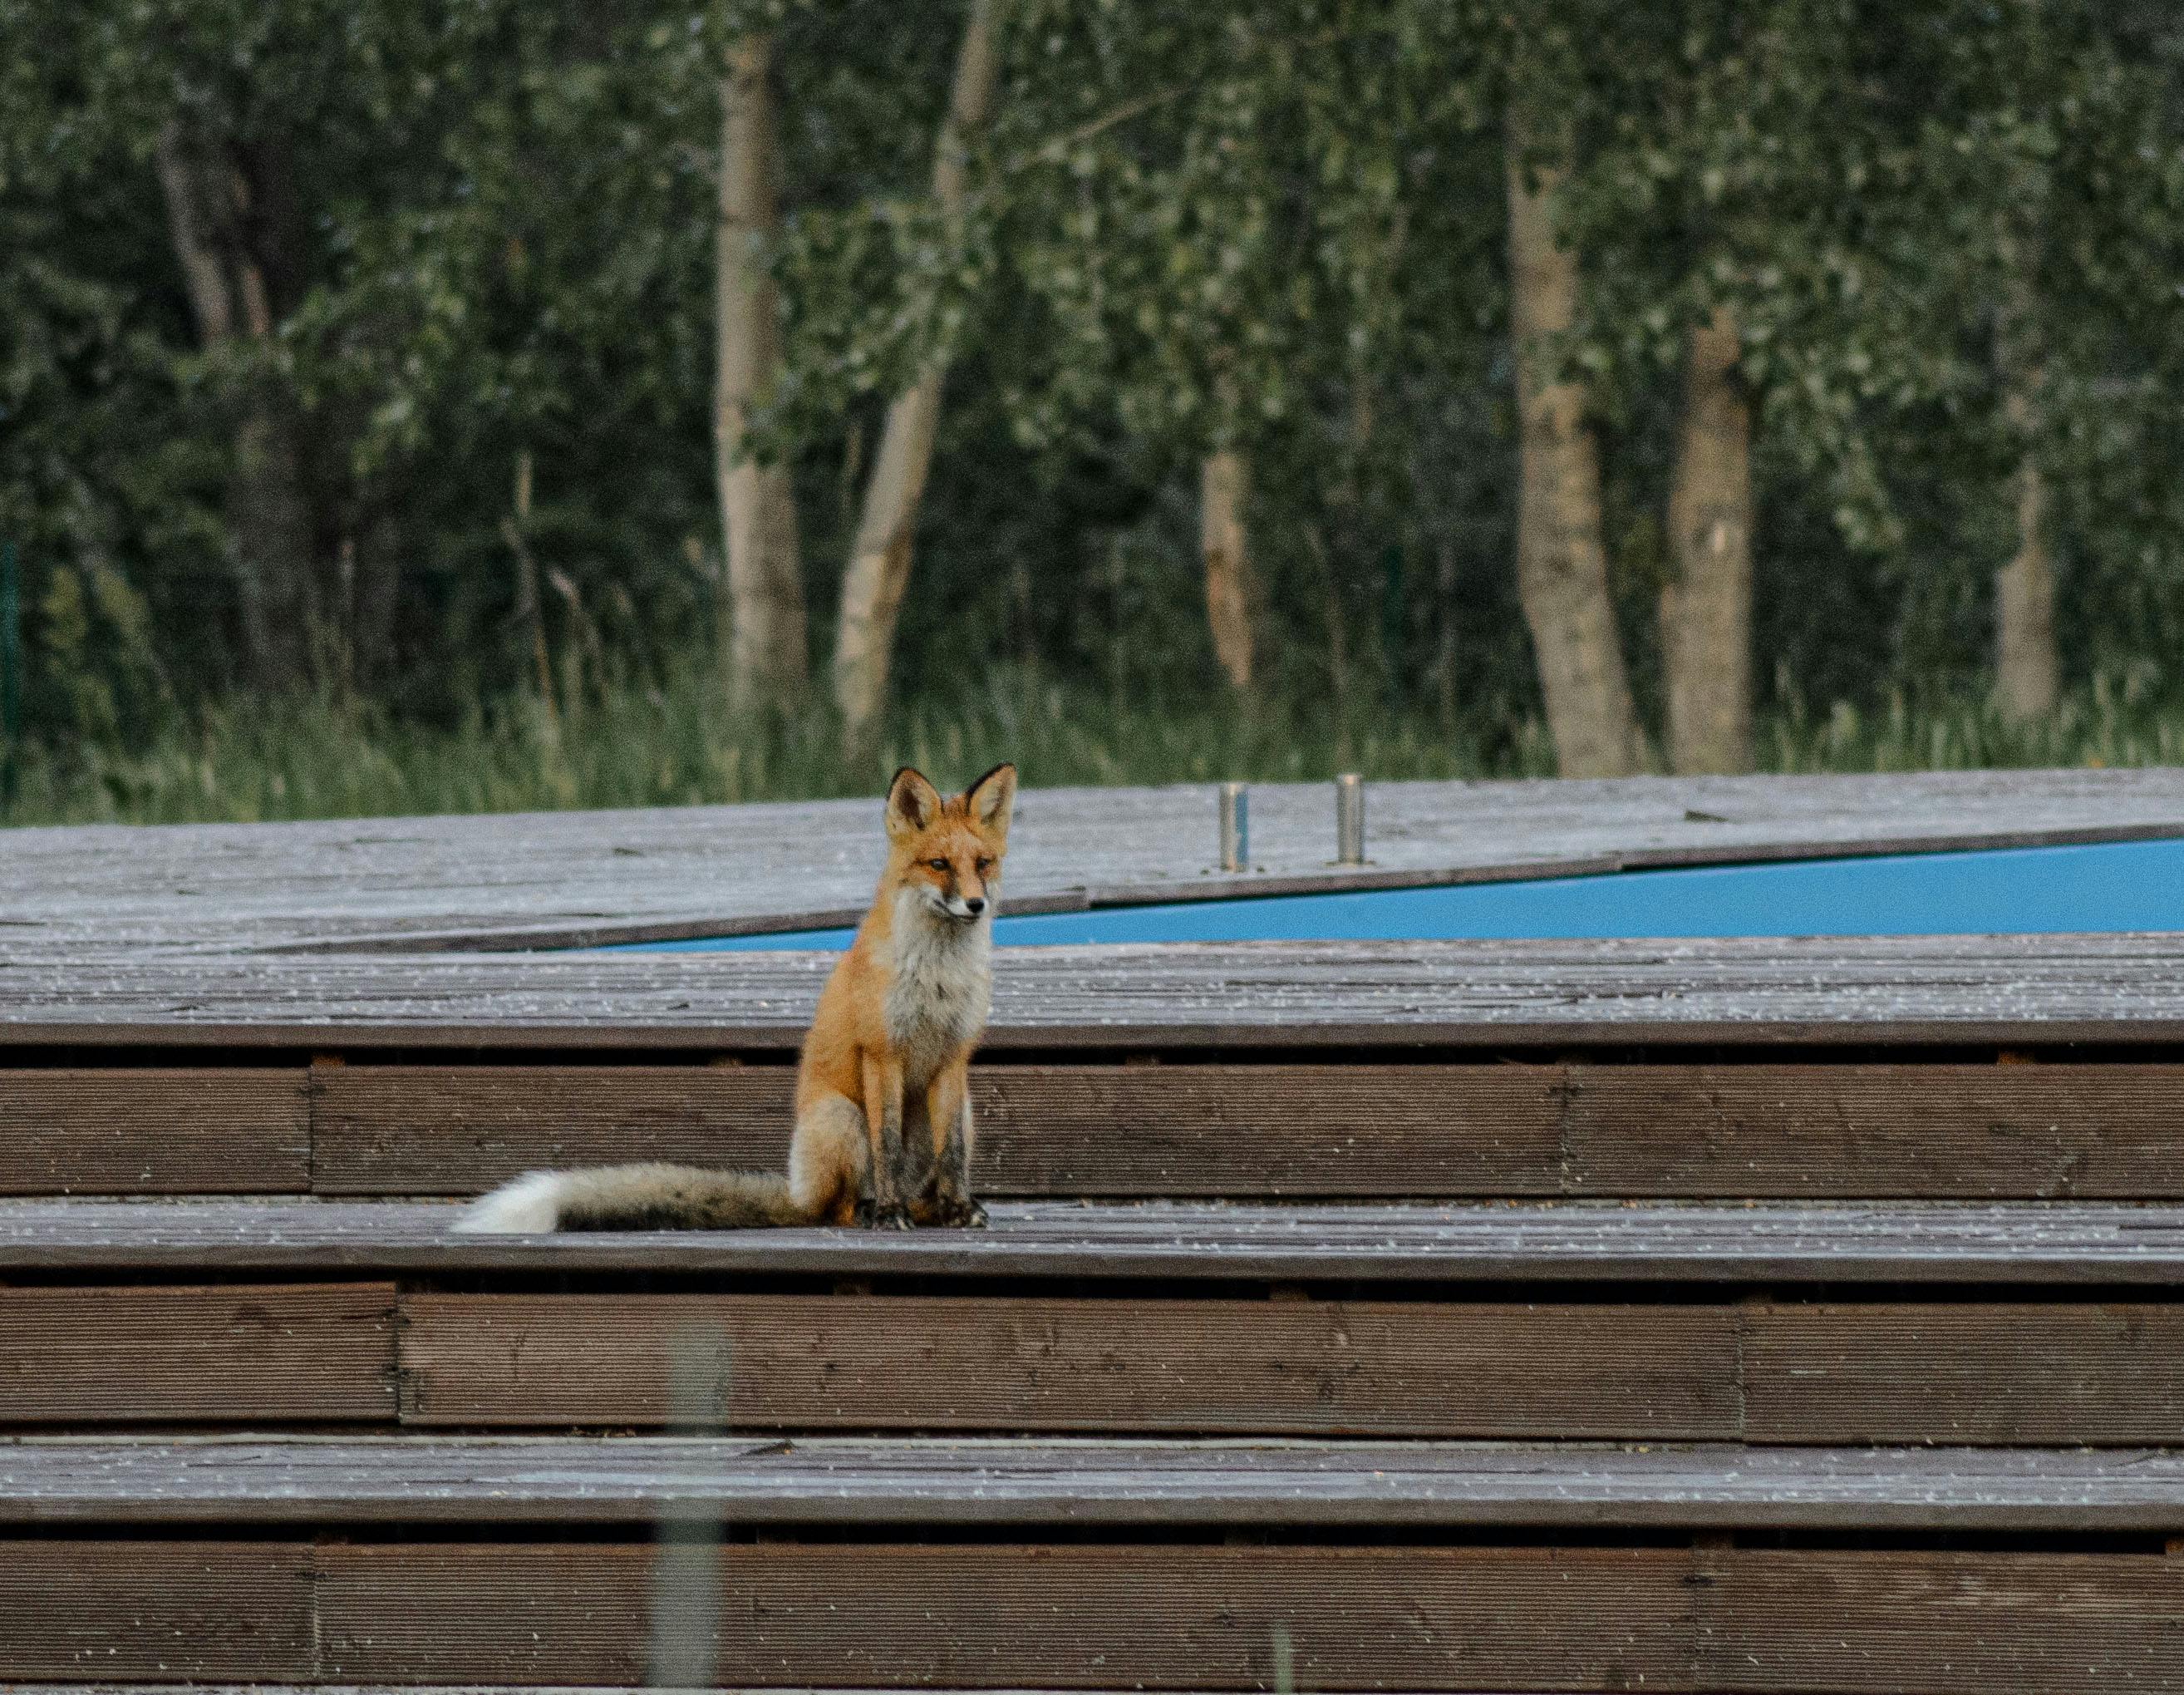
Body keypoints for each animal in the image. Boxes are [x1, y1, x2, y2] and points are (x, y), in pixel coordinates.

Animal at [458, 762, 1016, 1233]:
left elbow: (953, 1155)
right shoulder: (882, 1054)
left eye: (983, 864)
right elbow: (888, 1152)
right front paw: (890, 1213)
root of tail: (798, 1192)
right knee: (837, 1208)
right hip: (840, 1117)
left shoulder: (953, 1057)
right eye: (939, 864)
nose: (975, 905)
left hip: (965, 1108)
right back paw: (872, 1210)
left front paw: (957, 1208)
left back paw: (929, 1211)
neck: (937, 977)